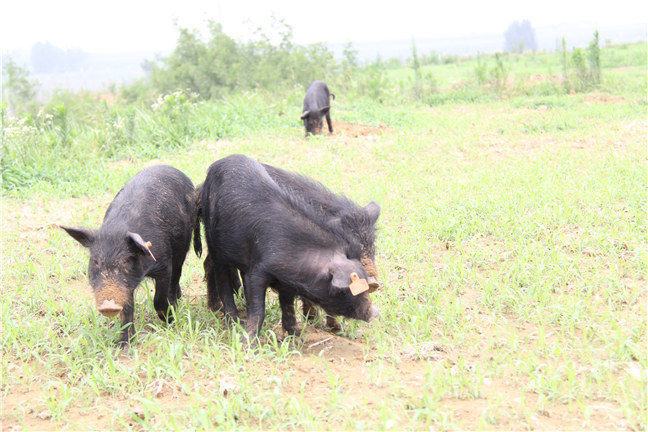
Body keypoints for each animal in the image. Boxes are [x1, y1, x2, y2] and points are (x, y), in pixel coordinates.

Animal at [61, 165, 202, 348]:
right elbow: (127, 309)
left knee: (177, 275)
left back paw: (176, 300)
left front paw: (170, 323)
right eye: (96, 261)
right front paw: (124, 345)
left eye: (126, 261)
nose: (108, 305)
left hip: (182, 246)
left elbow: (159, 298)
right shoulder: (125, 285)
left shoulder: (164, 265)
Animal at [202, 155, 380, 344]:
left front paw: (298, 337)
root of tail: (217, 163)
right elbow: (258, 309)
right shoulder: (257, 272)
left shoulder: (287, 281)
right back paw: (230, 320)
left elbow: (287, 306)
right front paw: (248, 343)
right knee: (220, 278)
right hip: (215, 244)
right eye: (348, 290)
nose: (375, 312)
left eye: (372, 246)